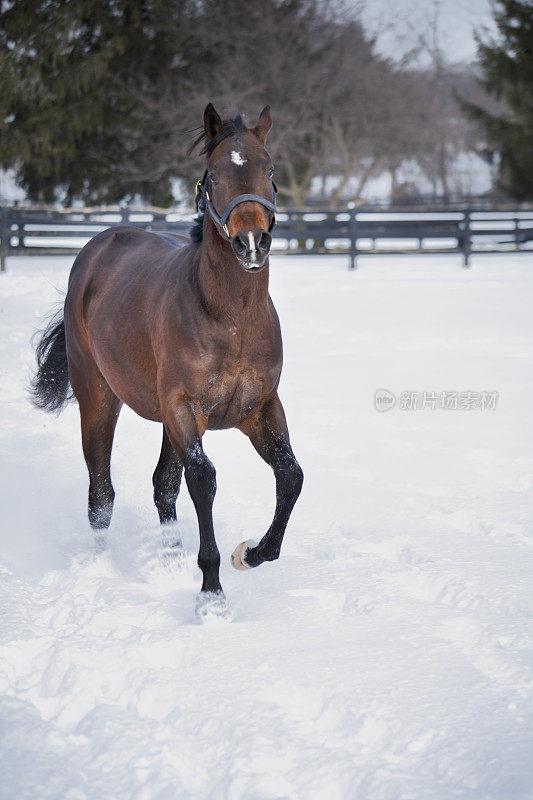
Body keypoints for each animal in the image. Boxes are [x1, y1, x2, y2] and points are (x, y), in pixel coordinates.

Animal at [32, 104, 304, 620]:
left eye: (270, 170)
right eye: (214, 176)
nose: (252, 243)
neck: (229, 319)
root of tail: (98, 246)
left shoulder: (260, 409)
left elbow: (290, 477)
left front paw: (249, 554)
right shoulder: (184, 410)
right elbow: (204, 479)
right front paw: (212, 595)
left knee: (161, 485)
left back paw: (170, 561)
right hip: (99, 399)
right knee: (101, 493)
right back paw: (104, 568)